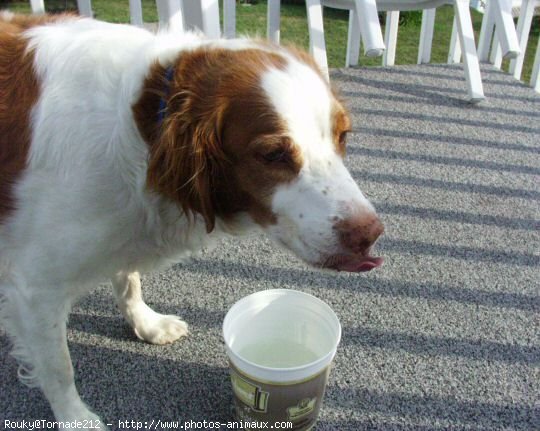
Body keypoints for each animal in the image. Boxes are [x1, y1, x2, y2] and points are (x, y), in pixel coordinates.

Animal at [1, 11, 384, 430]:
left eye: (342, 136)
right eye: (273, 155)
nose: (370, 234)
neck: (144, 128)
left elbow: (128, 279)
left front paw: (146, 324)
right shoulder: (36, 288)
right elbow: (59, 367)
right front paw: (75, 417)